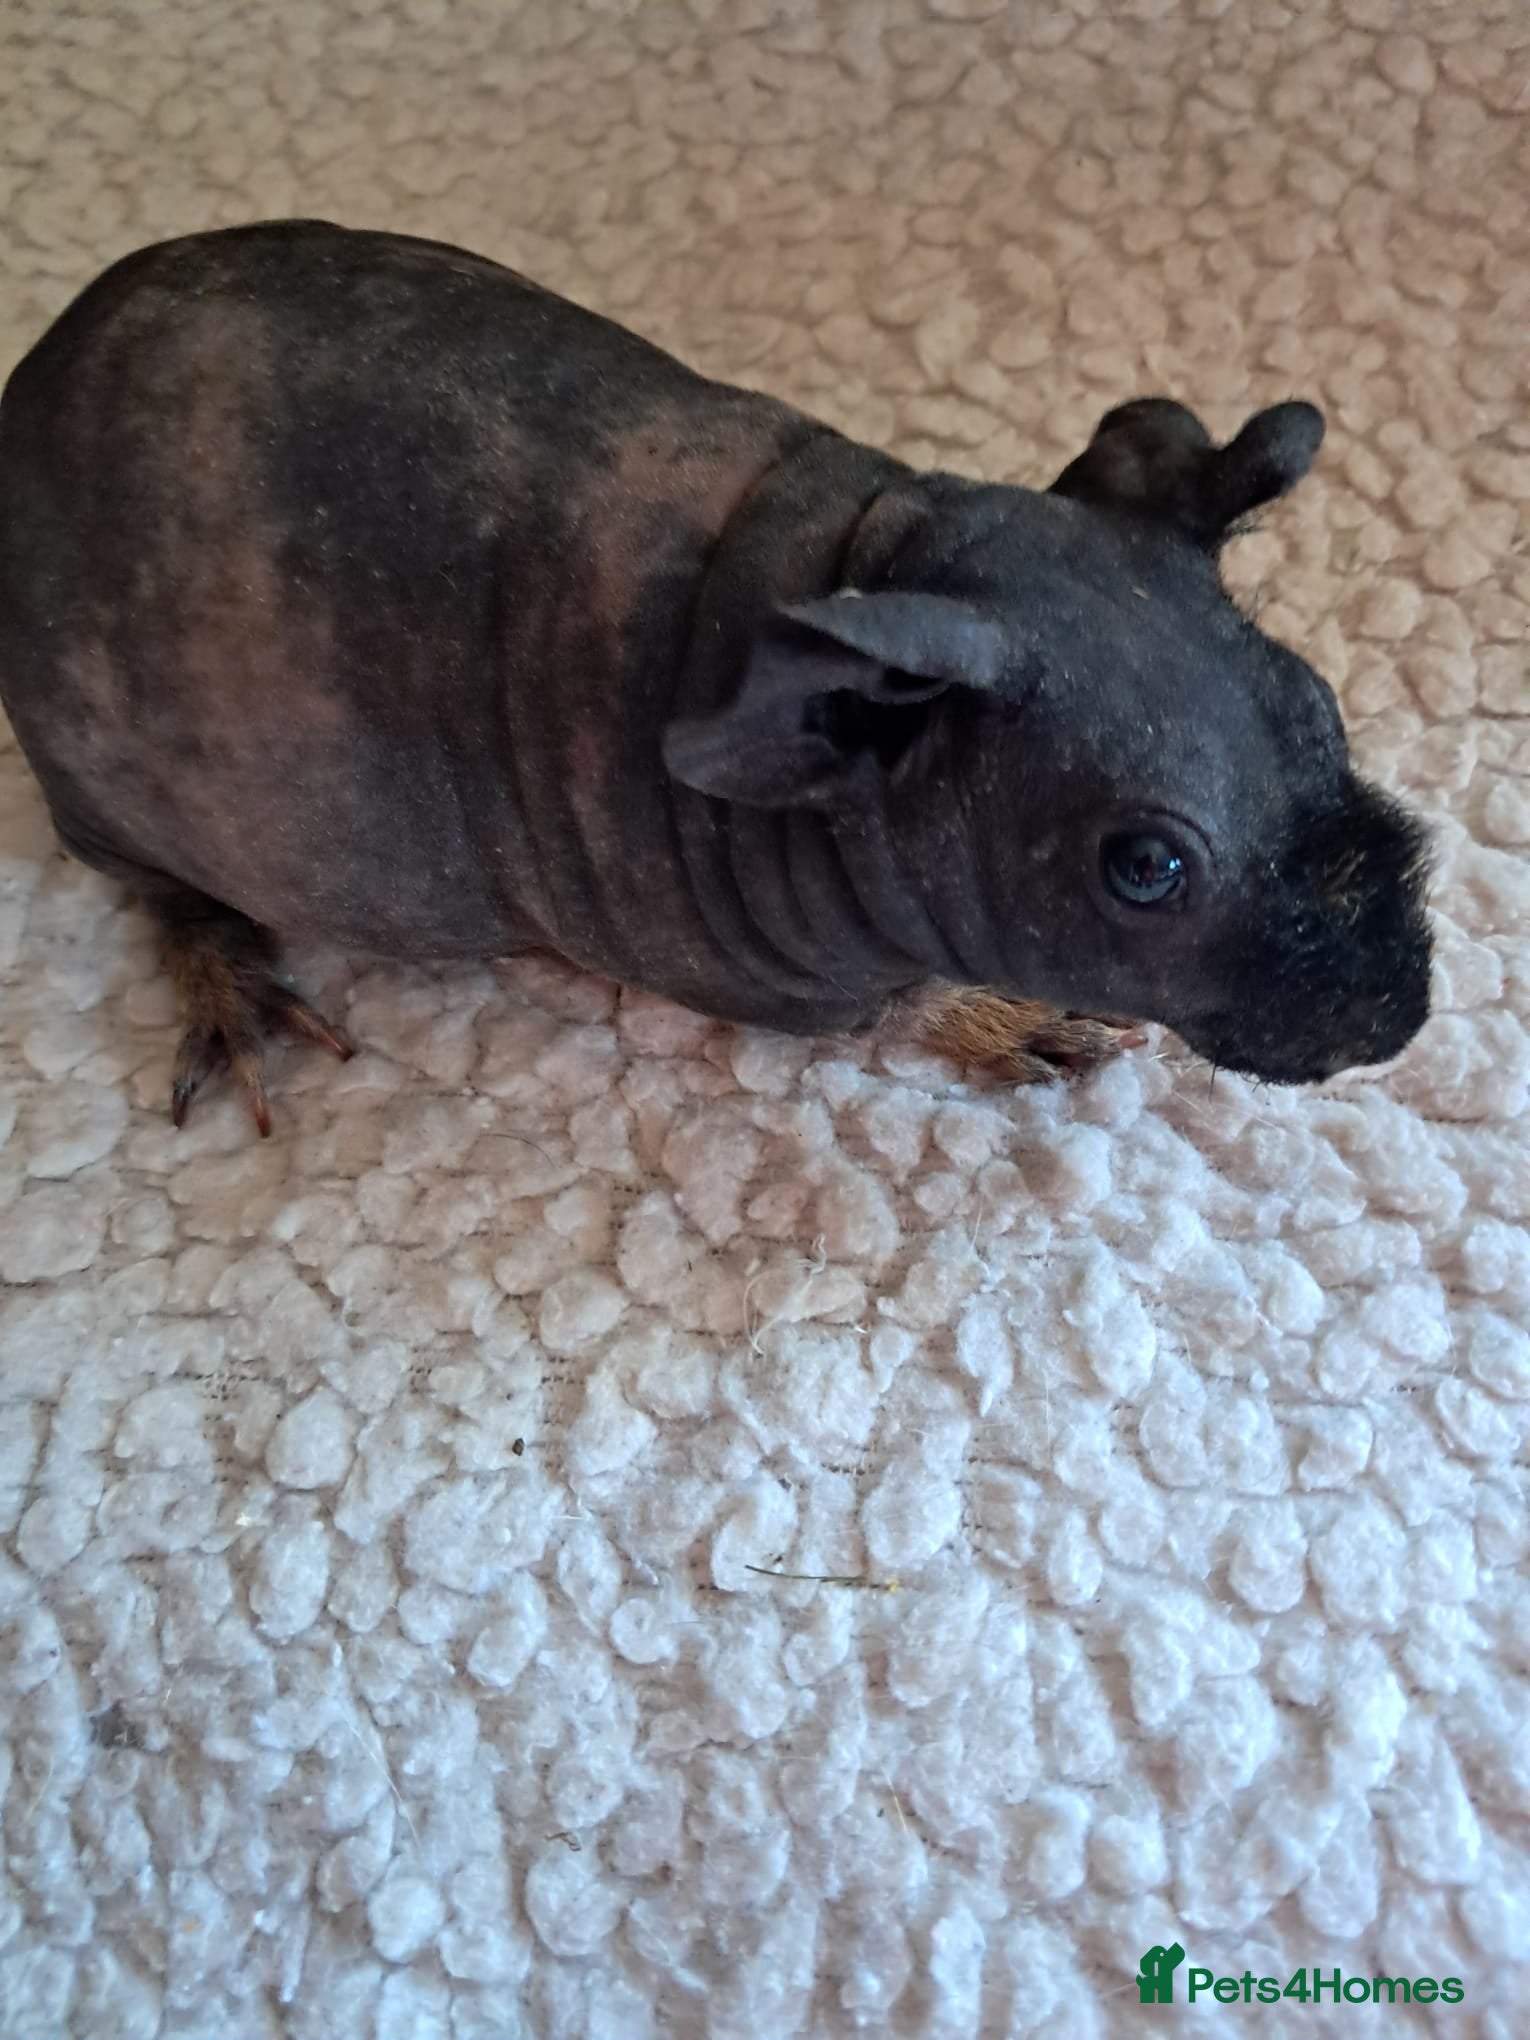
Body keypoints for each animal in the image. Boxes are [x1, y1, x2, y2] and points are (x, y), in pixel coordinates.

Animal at [0, 221, 1431, 1134]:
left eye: (1319, 709)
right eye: (1146, 869)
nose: (1405, 1010)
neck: (848, 560)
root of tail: (37, 377)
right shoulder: (783, 986)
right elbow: (902, 1010)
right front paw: (1005, 1014)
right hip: (111, 801)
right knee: (162, 898)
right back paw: (230, 987)